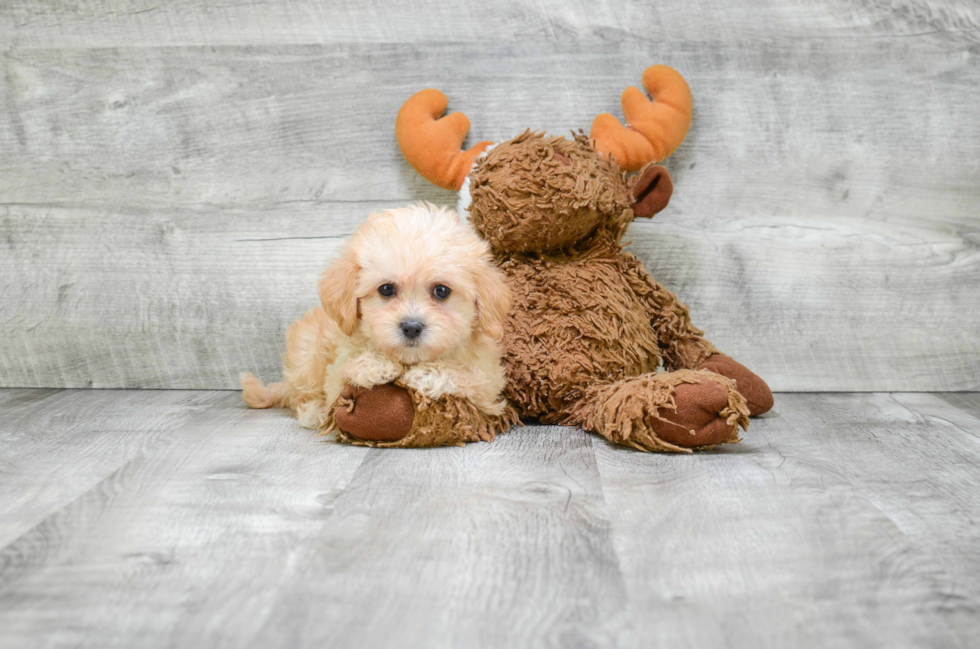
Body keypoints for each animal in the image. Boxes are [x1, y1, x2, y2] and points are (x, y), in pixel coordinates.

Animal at [241, 205, 512, 432]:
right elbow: (344, 373)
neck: (408, 360)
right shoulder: (335, 372)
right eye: (386, 289)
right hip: (306, 353)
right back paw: (314, 411)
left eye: (442, 291)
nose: (411, 327)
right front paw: (376, 364)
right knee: (301, 395)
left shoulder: (490, 384)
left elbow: (468, 374)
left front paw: (425, 375)